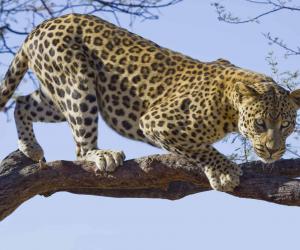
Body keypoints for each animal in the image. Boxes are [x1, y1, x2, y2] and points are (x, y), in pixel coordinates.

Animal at [0, 13, 300, 191]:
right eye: (260, 123)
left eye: (286, 125)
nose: (273, 151)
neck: (230, 107)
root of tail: (39, 27)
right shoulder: (157, 121)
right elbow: (201, 148)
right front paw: (223, 171)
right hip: (77, 84)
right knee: (80, 149)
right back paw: (102, 154)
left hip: (57, 93)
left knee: (22, 102)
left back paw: (31, 147)